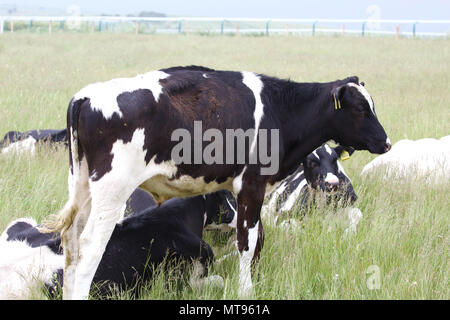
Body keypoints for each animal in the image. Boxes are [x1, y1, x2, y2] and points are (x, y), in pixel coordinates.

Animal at [42, 65, 390, 300]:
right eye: (360, 108)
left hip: (82, 187)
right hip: (110, 192)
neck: (278, 109)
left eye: (372, 104)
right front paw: (247, 290)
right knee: (89, 247)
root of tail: (86, 96)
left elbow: (257, 240)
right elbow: (247, 243)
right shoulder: (251, 185)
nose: (386, 142)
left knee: (71, 244)